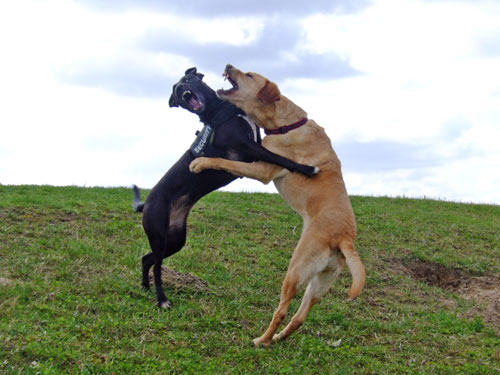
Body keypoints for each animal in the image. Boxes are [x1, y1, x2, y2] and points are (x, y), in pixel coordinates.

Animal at [133, 67, 318, 308]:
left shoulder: (255, 144)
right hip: (158, 233)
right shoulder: (247, 148)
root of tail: (146, 203)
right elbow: (280, 158)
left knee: (148, 259)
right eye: (175, 90)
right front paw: (307, 168)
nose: (182, 90)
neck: (217, 111)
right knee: (156, 265)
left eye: (187, 80)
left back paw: (145, 286)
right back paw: (162, 299)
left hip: (175, 239)